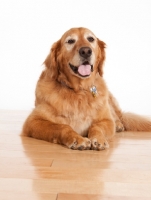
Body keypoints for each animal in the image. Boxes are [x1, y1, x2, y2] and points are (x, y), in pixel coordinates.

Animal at [22, 27, 151, 151]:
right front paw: (77, 140)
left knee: (117, 117)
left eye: (91, 39)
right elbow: (62, 126)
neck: (79, 90)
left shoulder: (106, 120)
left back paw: (118, 125)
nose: (85, 51)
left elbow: (97, 126)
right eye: (70, 41)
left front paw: (98, 139)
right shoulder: (33, 121)